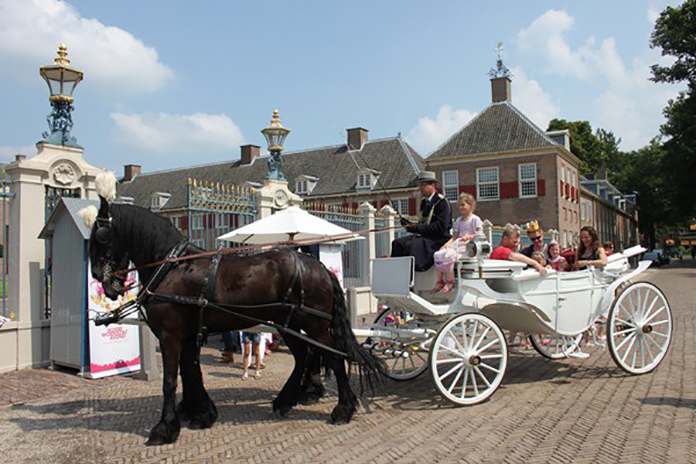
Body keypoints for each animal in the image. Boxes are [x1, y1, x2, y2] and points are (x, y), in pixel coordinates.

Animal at [86, 196, 384, 446]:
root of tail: (319, 266)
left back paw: (342, 409)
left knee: (333, 357)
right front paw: (200, 413)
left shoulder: (171, 335)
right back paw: (286, 401)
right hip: (288, 324)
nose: (101, 279)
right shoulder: (188, 334)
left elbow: (170, 380)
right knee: (304, 356)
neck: (173, 266)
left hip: (314, 324)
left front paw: (165, 428)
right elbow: (191, 371)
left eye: (100, 237)